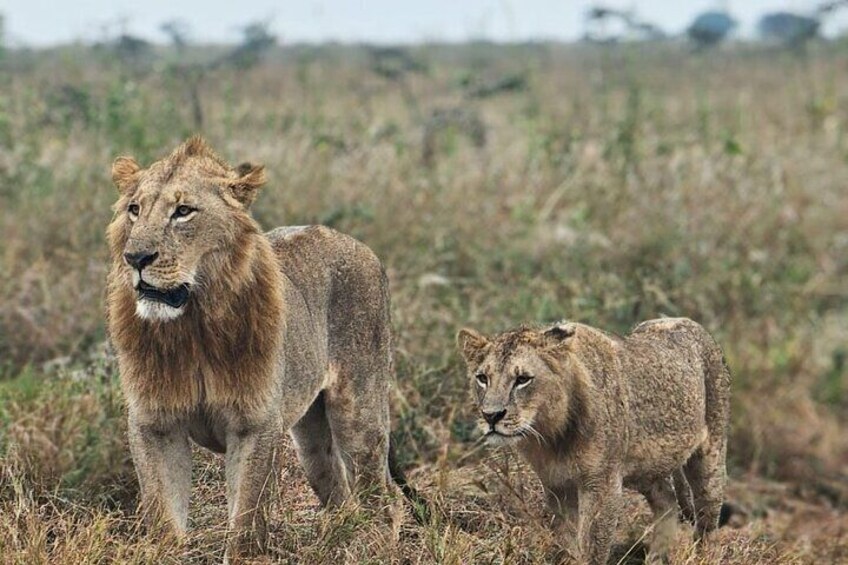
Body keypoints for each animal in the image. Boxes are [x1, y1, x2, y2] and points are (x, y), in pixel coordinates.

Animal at [106, 137, 404, 559]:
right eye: (134, 210)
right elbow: (163, 517)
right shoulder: (154, 423)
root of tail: (359, 245)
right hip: (311, 440)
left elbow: (246, 519)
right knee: (340, 494)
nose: (135, 258)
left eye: (183, 212)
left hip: (359, 412)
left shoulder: (254, 424)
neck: (192, 326)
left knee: (382, 493)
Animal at [457, 318, 730, 564]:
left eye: (523, 379)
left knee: (708, 518)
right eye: (482, 378)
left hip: (711, 454)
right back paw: (655, 559)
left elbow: (592, 545)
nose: (491, 415)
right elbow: (565, 542)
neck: (551, 436)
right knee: (668, 501)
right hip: (647, 469)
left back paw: (703, 556)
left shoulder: (602, 483)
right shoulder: (556, 485)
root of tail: (694, 325)